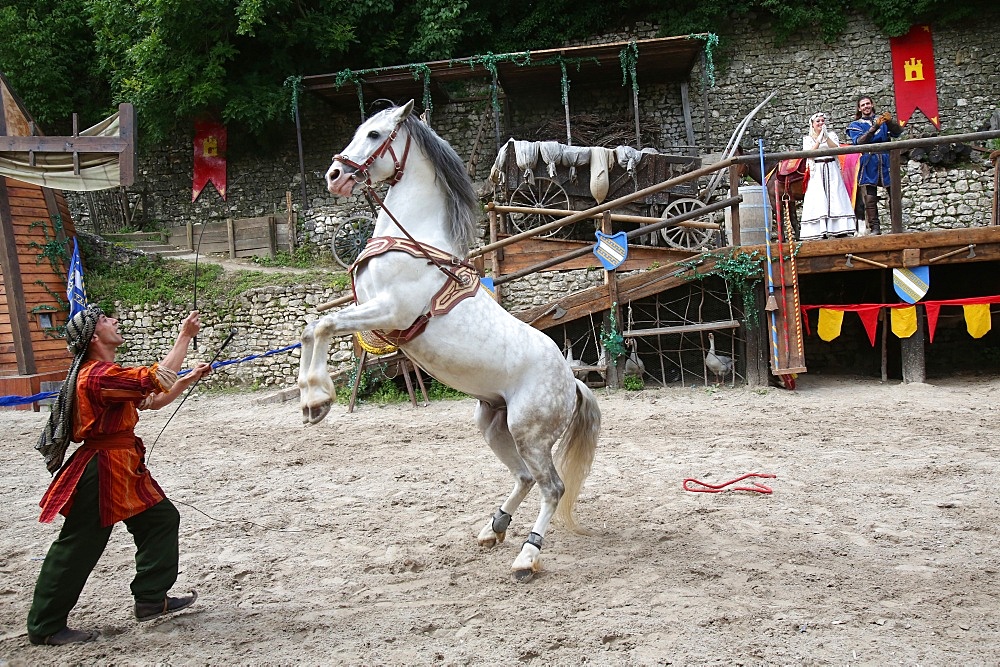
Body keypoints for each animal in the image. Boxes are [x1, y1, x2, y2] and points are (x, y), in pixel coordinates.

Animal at [298, 102, 600, 580]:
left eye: (375, 135)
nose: (334, 175)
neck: (415, 241)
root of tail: (572, 383)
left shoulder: (389, 310)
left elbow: (324, 325)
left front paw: (317, 398)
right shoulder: (369, 309)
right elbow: (312, 325)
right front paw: (312, 402)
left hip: (529, 433)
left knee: (552, 487)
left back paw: (527, 556)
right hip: (493, 424)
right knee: (525, 478)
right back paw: (493, 528)